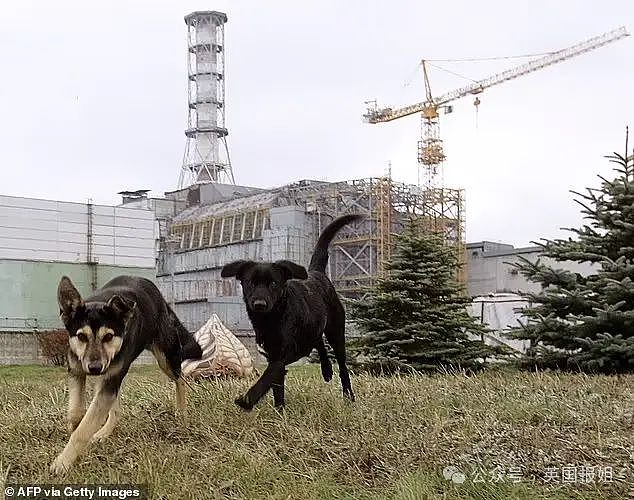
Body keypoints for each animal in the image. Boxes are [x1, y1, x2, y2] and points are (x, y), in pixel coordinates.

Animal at [50, 276, 201, 474]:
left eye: (108, 336)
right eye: (81, 336)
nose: (95, 367)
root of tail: (160, 297)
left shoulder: (109, 379)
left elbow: (83, 429)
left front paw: (63, 462)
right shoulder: (77, 371)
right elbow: (76, 412)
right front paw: (75, 429)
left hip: (165, 358)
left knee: (180, 379)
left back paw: (181, 413)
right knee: (115, 410)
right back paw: (104, 432)